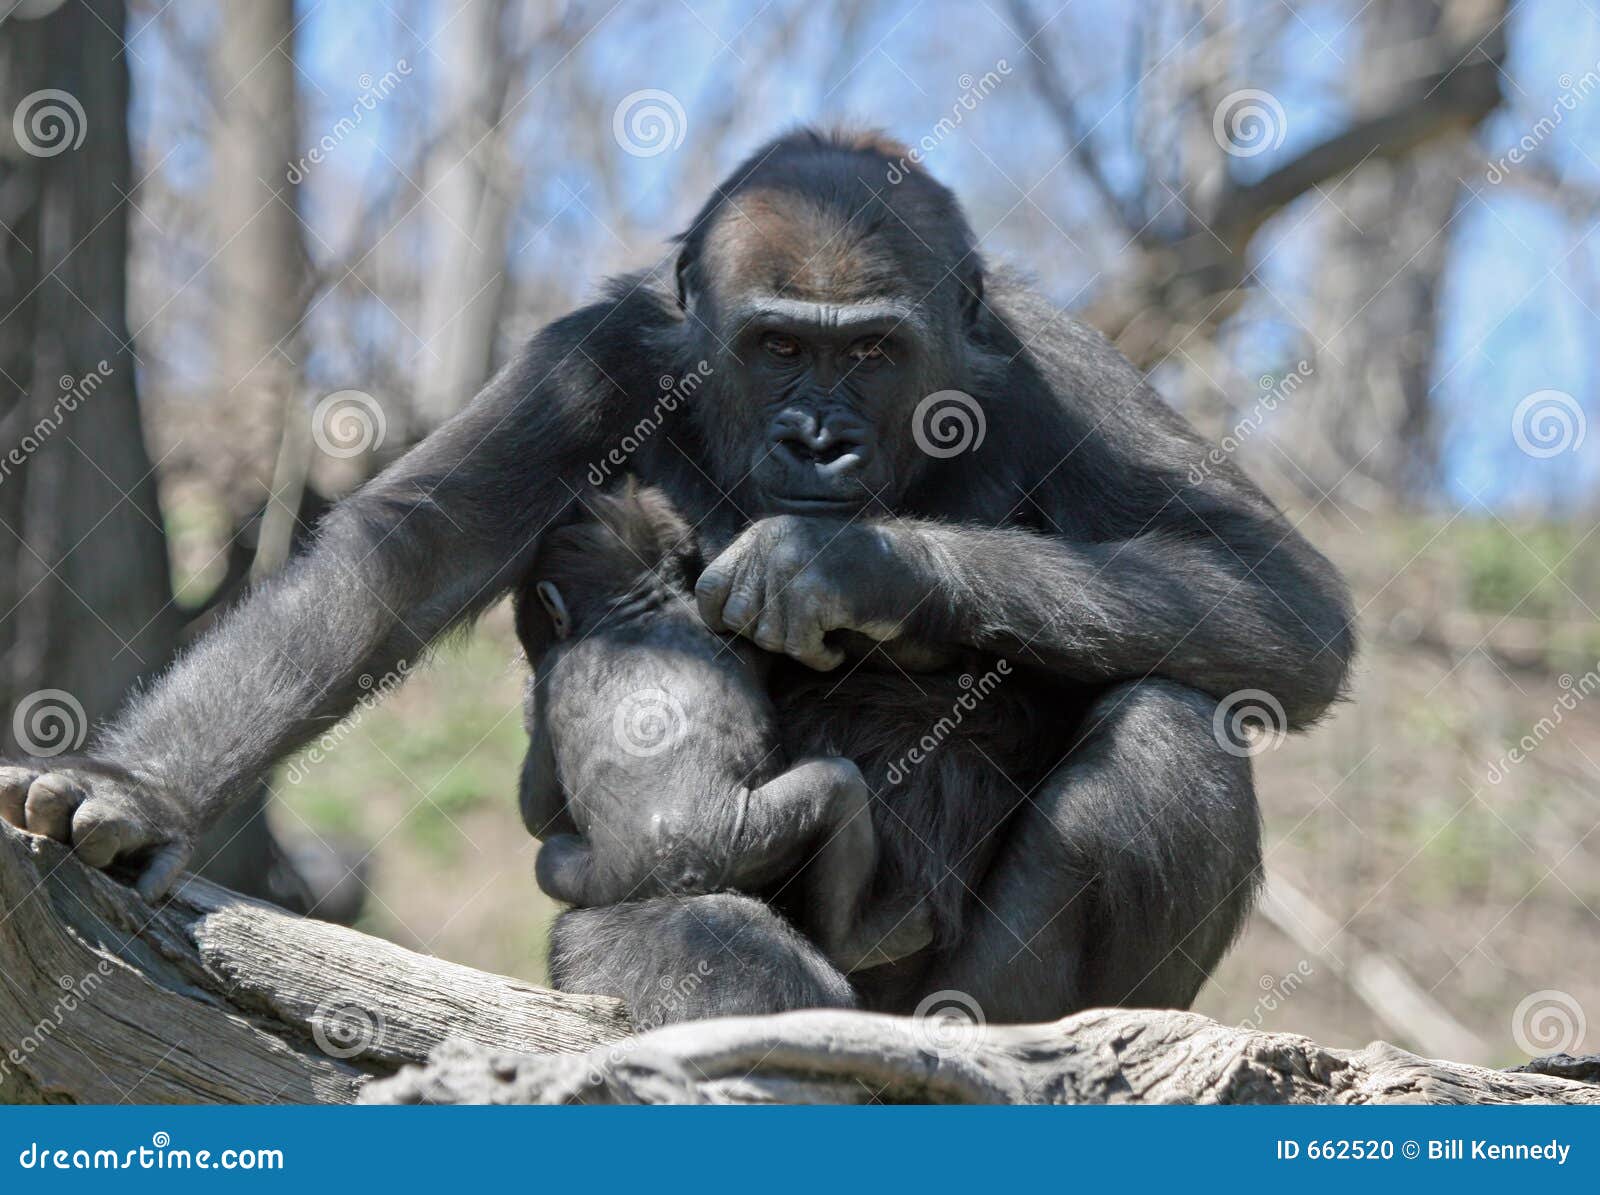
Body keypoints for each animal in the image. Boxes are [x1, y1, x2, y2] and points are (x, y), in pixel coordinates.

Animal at [512, 479, 934, 979]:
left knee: (547, 861)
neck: (634, 607)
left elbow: (540, 812)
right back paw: (856, 941)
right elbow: (539, 810)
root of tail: (676, 874)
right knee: (840, 785)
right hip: (735, 844)